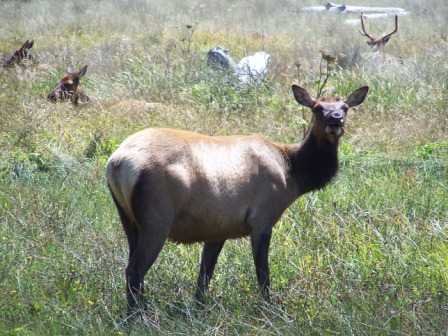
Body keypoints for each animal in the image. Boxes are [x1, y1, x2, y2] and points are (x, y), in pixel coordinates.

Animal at [107, 83, 370, 312]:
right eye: (316, 107)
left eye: (344, 107)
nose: (335, 120)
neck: (293, 174)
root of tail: (117, 163)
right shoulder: (263, 217)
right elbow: (263, 273)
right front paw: (269, 309)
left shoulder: (218, 228)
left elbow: (204, 276)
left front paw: (200, 308)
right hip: (156, 219)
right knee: (134, 270)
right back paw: (137, 316)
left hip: (128, 220)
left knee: (132, 269)